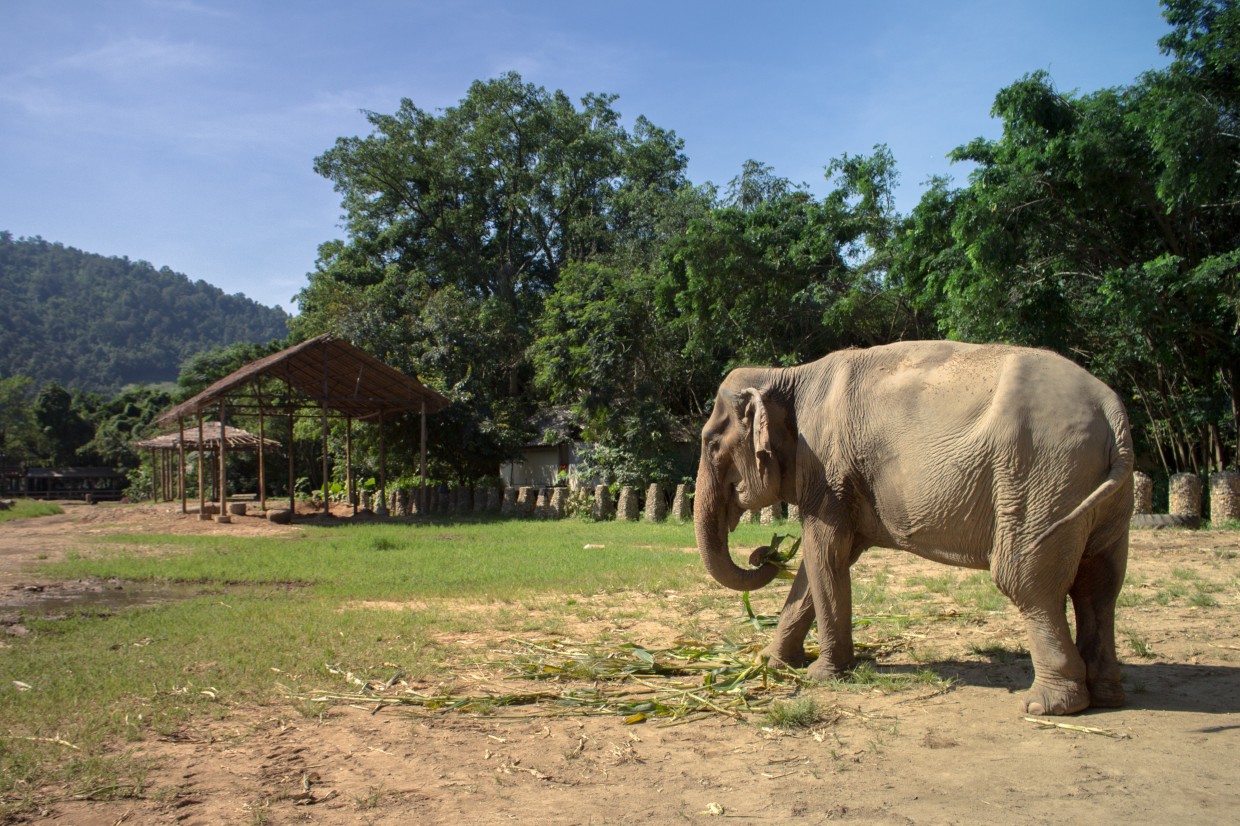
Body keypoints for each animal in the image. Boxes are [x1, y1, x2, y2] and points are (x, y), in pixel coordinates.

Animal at [699, 339, 1135, 714]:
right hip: (1099, 497)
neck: (788, 375)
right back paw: (1108, 695)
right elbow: (821, 564)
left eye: (711, 443)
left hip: (1040, 475)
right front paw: (770, 663)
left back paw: (1046, 706)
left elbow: (824, 554)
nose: (766, 554)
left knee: (1026, 581)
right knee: (1098, 584)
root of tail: (1111, 410)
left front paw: (822, 675)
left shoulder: (829, 471)